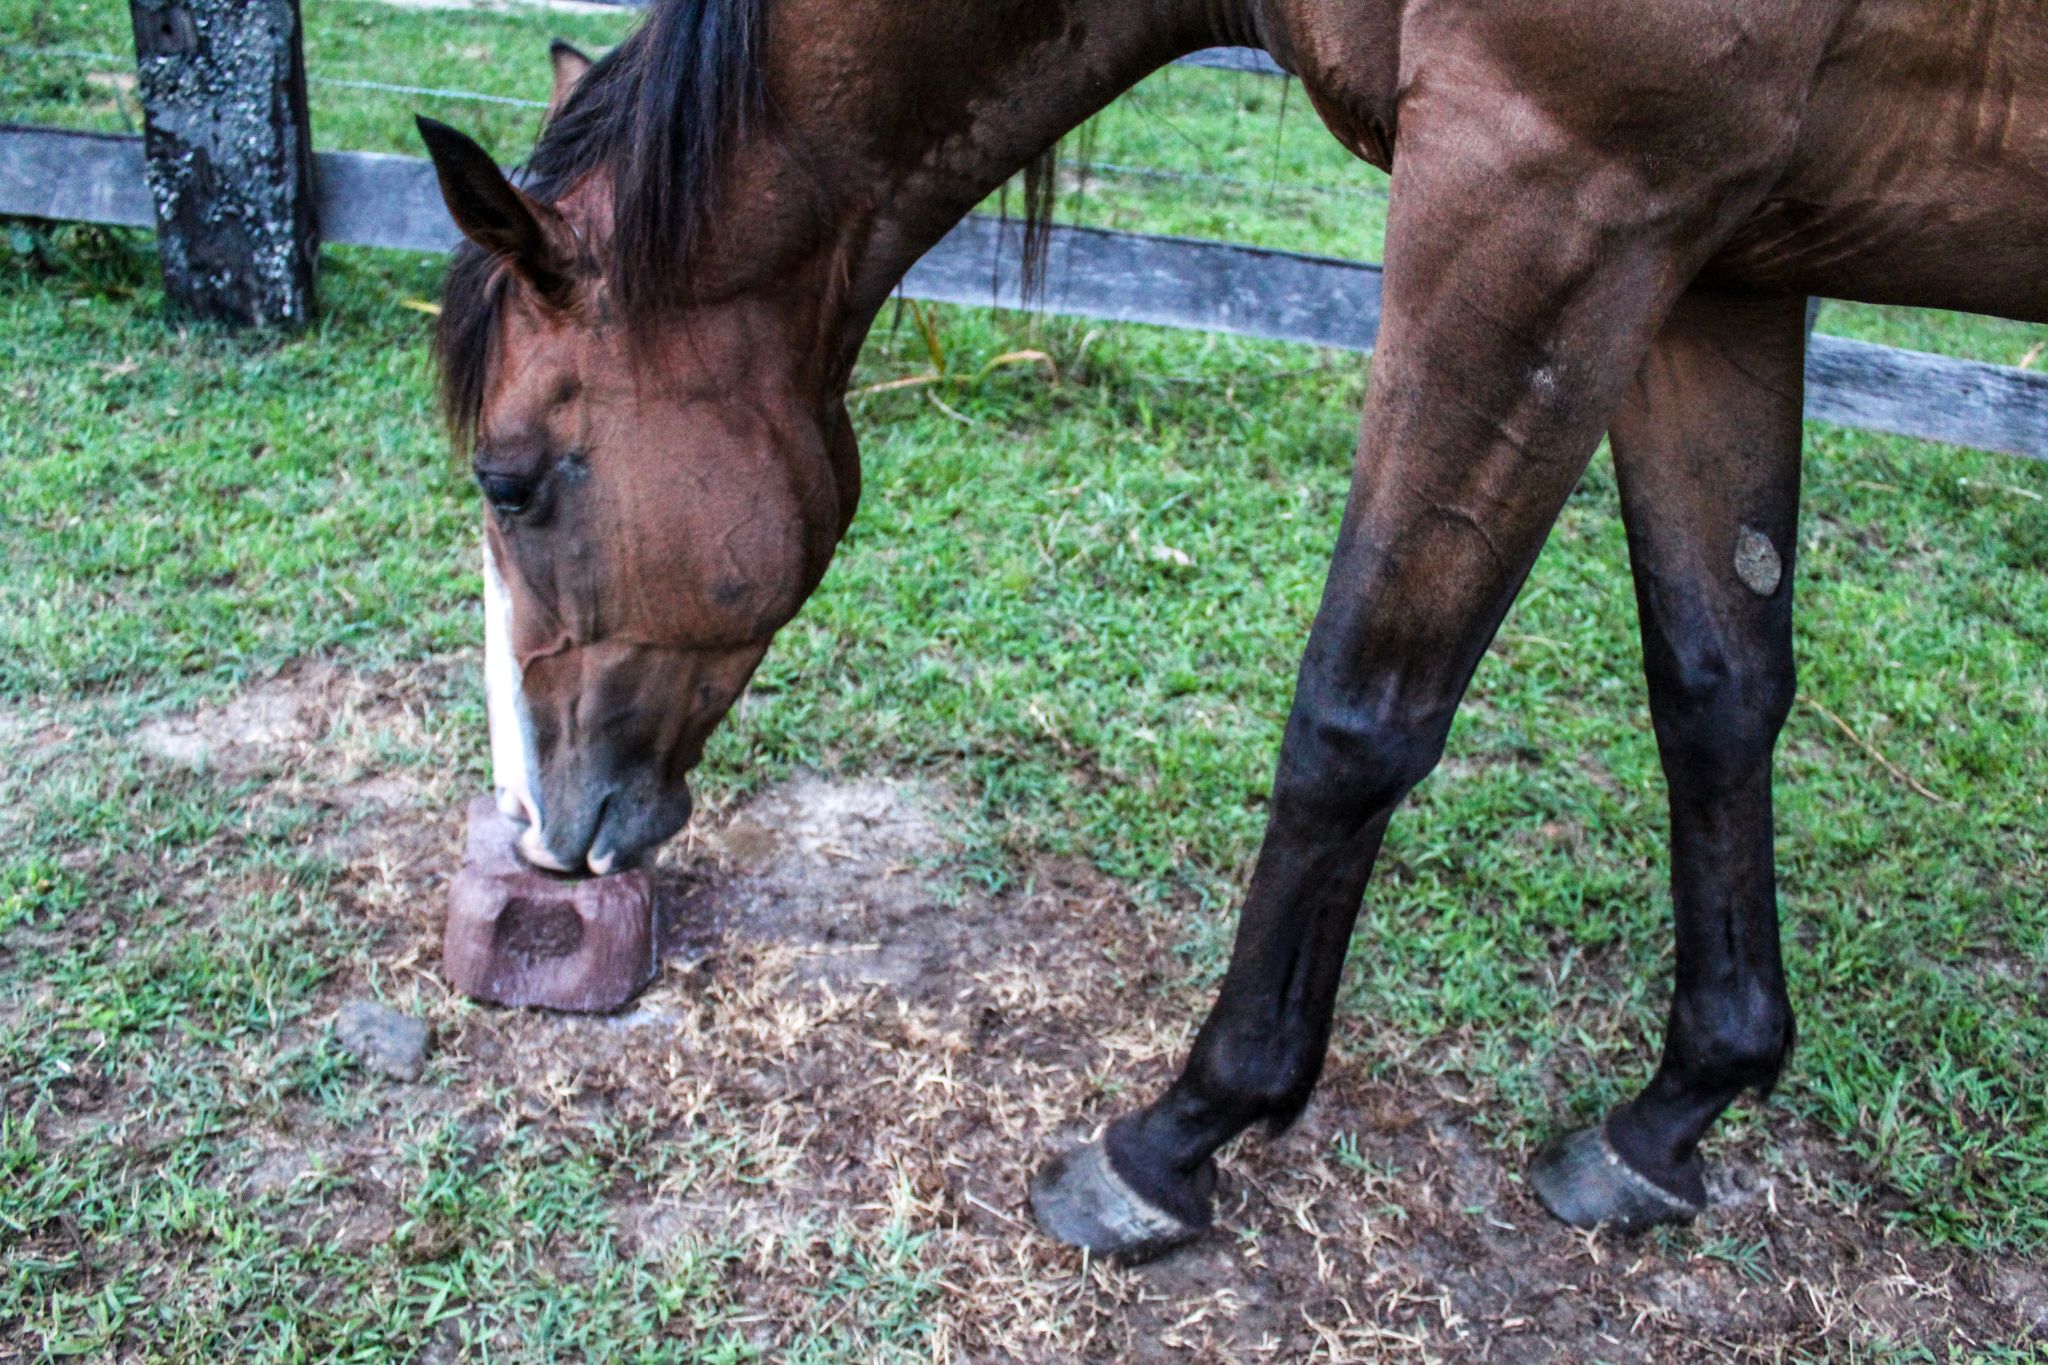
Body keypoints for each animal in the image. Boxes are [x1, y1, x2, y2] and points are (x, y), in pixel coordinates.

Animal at [415, 0, 2048, 1259]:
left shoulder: (1549, 193)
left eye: (509, 477)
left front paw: (1176, 1136)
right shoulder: (1720, 259)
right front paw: (1677, 1109)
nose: (538, 824)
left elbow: (1359, 710)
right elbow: (1717, 685)